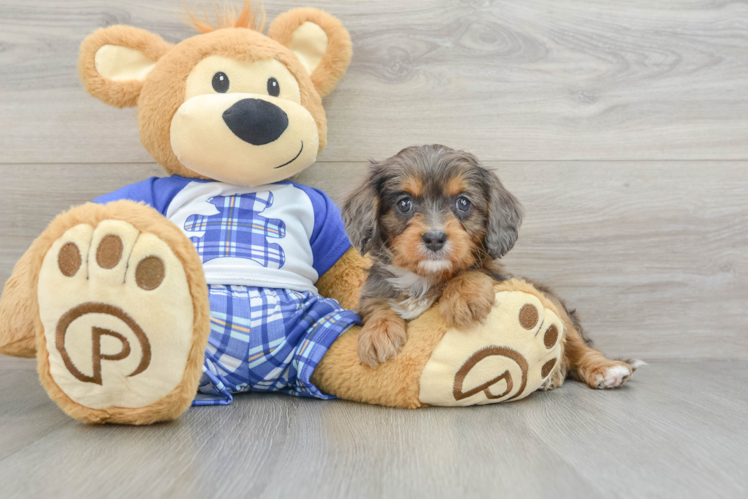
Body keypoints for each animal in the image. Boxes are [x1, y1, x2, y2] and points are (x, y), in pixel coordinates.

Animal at [342, 143, 640, 392]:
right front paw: (378, 333)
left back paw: (604, 369)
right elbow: (377, 305)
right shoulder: (374, 291)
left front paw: (465, 296)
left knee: (577, 345)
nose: (435, 238)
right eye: (404, 203)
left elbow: (473, 270)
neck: (424, 278)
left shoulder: (496, 274)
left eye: (463, 202)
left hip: (554, 304)